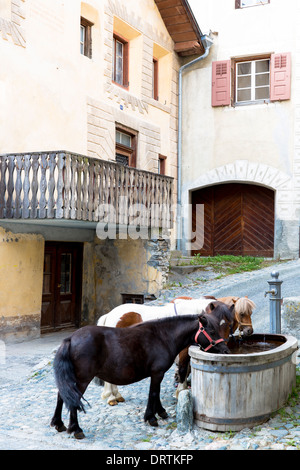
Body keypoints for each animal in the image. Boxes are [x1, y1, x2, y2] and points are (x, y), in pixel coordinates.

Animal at [51, 310, 232, 438]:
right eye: (212, 331)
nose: (226, 350)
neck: (163, 337)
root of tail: (70, 339)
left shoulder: (157, 374)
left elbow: (156, 393)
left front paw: (161, 412)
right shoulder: (157, 373)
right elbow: (153, 393)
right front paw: (151, 418)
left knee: (61, 396)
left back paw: (59, 424)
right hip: (82, 379)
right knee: (72, 399)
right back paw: (76, 429)